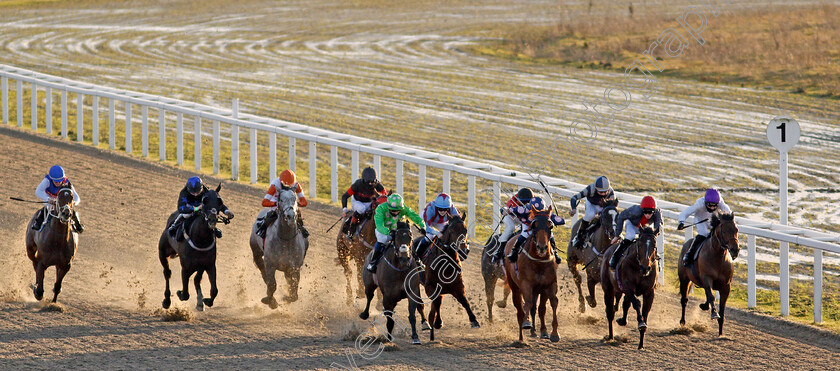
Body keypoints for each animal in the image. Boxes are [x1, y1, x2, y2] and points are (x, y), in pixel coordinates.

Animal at [416, 214, 480, 342]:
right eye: (451, 231)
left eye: (465, 230)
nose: (463, 251)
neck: (445, 264)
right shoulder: (431, 287)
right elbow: (436, 304)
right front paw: (438, 322)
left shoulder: (458, 286)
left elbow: (464, 301)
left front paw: (474, 320)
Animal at [502, 212, 560, 342]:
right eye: (534, 226)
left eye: (550, 226)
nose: (542, 247)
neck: (539, 262)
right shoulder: (526, 284)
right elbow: (527, 303)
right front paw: (527, 323)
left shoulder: (549, 284)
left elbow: (551, 303)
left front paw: (551, 332)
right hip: (514, 286)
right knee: (520, 309)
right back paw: (521, 338)